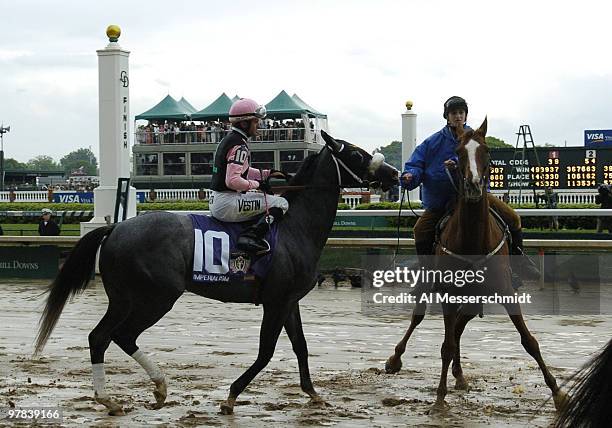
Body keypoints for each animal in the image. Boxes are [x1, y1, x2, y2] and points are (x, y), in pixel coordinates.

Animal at [34, 130, 396, 414]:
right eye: (356, 154)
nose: (393, 173)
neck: (296, 228)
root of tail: (116, 228)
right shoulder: (275, 301)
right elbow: (266, 352)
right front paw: (231, 396)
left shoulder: (289, 301)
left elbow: (301, 346)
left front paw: (313, 393)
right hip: (155, 297)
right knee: (120, 335)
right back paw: (152, 388)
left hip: (124, 298)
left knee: (101, 336)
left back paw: (113, 398)